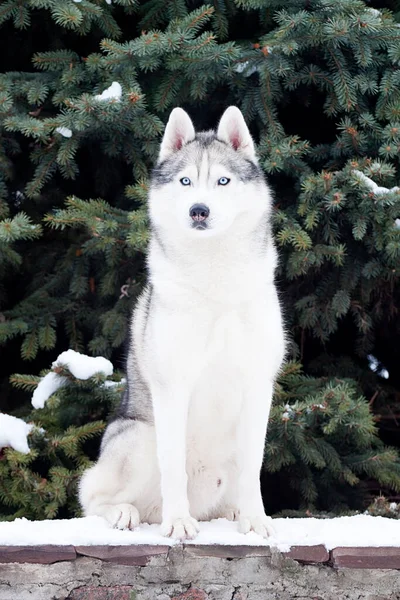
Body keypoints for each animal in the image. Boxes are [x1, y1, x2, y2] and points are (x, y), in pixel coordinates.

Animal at [79, 106, 284, 540]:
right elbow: (172, 467)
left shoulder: (258, 386)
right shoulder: (173, 387)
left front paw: (256, 521)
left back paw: (233, 514)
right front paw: (177, 524)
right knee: (92, 498)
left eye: (222, 180)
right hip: (140, 436)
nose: (198, 210)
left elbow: (253, 467)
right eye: (185, 181)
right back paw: (128, 514)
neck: (214, 278)